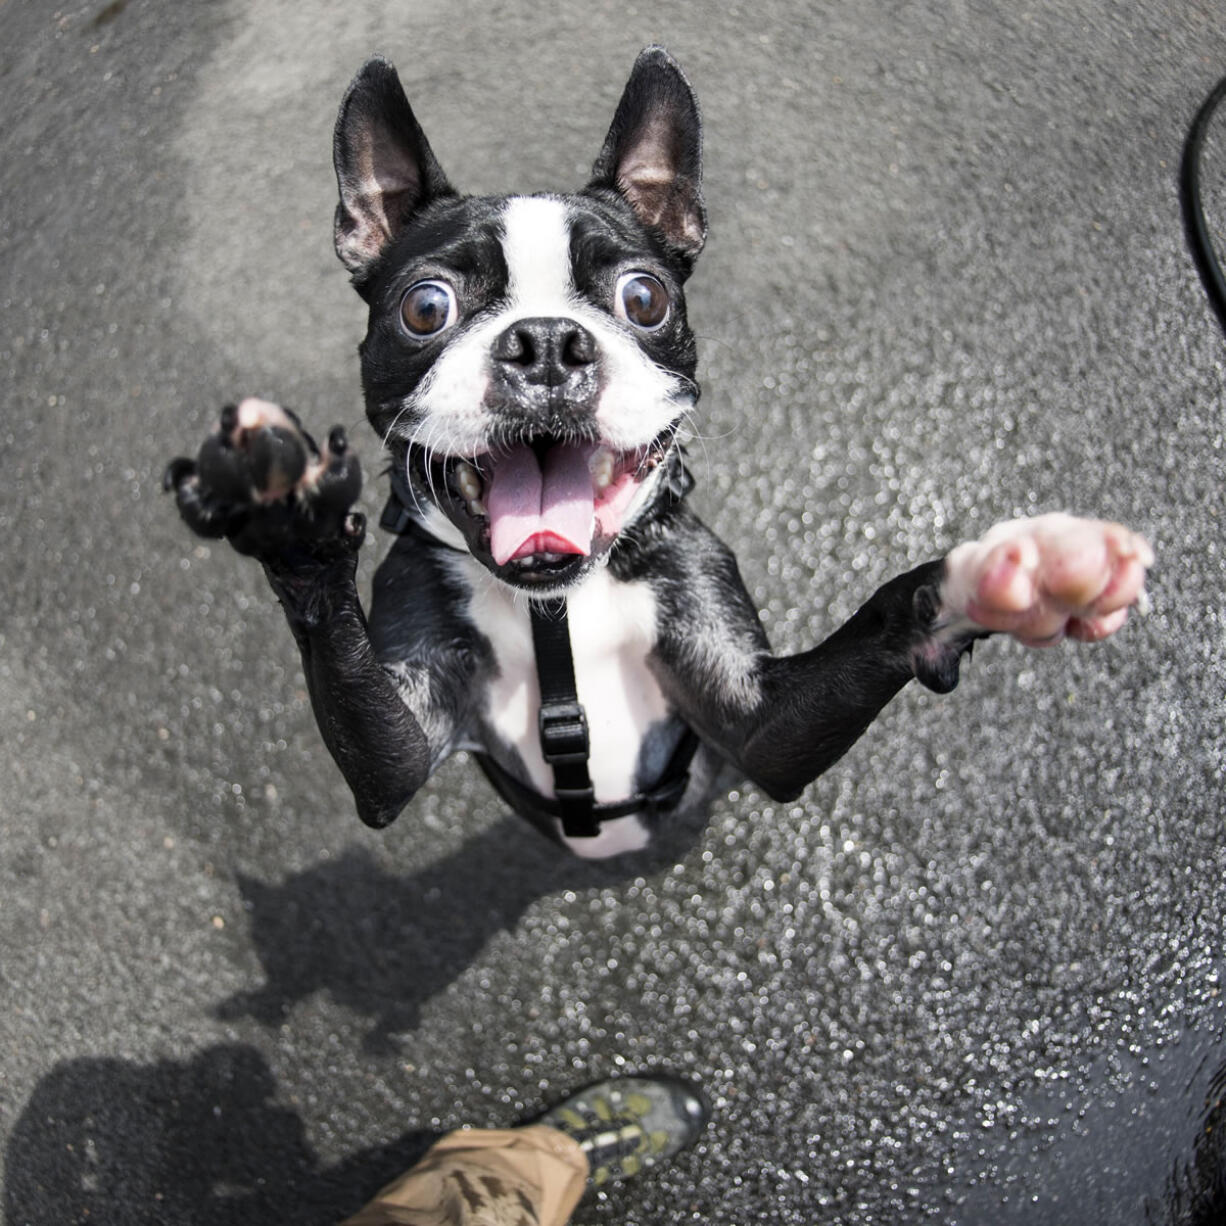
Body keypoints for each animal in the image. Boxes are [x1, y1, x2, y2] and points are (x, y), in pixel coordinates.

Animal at [163, 50, 1147, 863]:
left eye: (644, 298)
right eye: (425, 308)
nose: (545, 344)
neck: (556, 607)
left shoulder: (758, 727)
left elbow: (881, 618)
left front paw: (997, 574)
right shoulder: (397, 750)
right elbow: (355, 682)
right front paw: (286, 515)